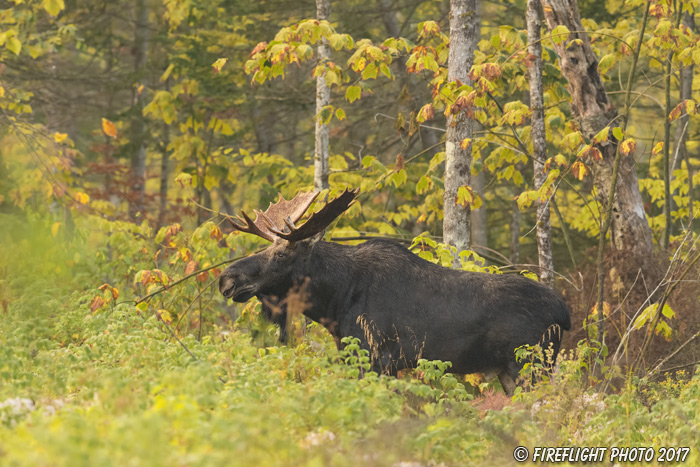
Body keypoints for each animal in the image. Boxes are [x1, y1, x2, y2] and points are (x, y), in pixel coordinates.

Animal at [217, 188, 568, 394]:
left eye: (281, 254)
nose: (226, 278)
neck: (335, 302)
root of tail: (565, 312)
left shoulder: (376, 357)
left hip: (531, 364)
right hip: (513, 371)